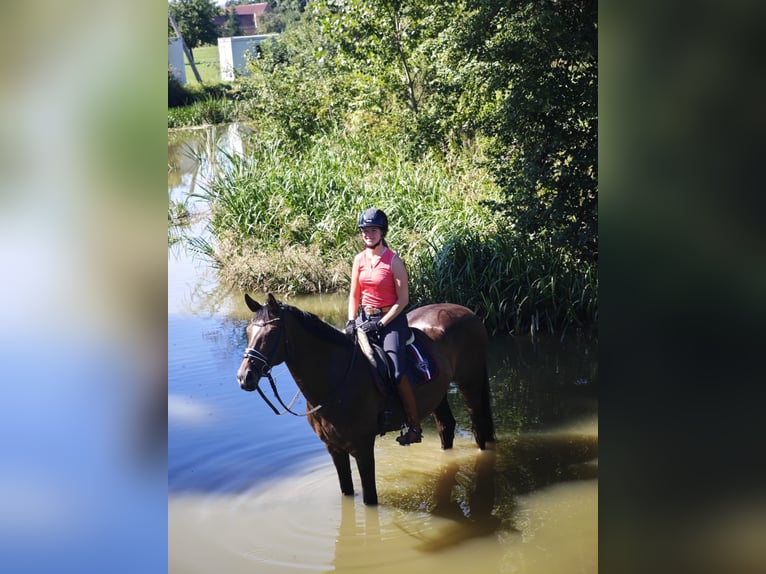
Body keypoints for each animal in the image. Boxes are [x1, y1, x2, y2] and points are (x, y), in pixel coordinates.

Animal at [236, 293, 495, 506]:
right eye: (248, 331)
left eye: (270, 334)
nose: (244, 376)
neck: (336, 380)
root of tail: (469, 312)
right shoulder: (334, 448)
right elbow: (346, 490)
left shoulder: (362, 446)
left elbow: (370, 498)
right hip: (437, 394)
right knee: (446, 427)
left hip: (470, 381)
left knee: (478, 427)